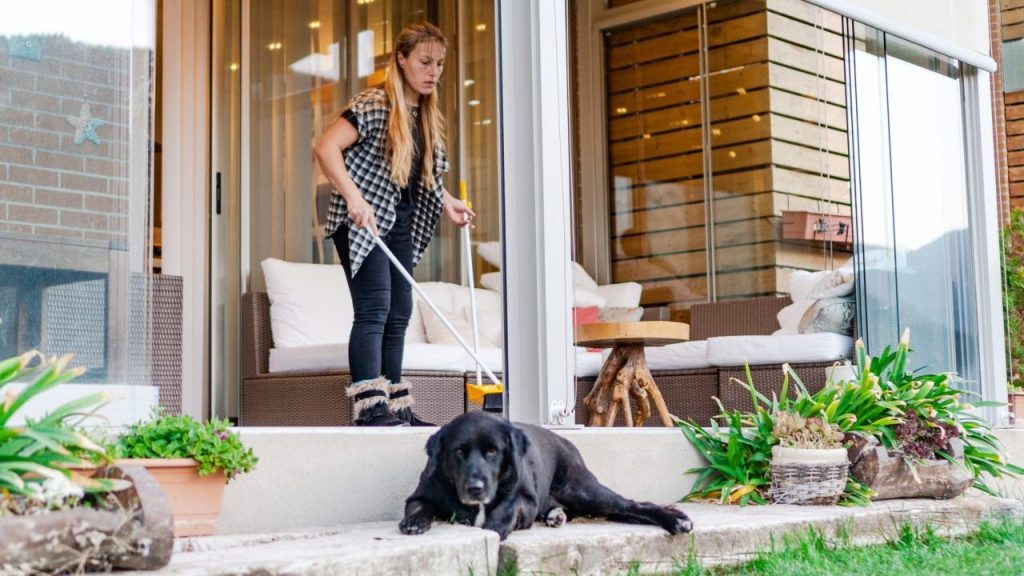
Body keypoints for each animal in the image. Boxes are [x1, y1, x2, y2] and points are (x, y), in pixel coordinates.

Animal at [399, 407, 696, 537]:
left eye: (493, 451)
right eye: (459, 452)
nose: (475, 488)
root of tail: (564, 440)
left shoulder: (526, 500)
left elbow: (509, 507)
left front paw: (494, 526)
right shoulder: (420, 494)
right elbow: (420, 506)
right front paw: (413, 522)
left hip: (584, 490)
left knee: (632, 505)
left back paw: (676, 520)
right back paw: (555, 515)